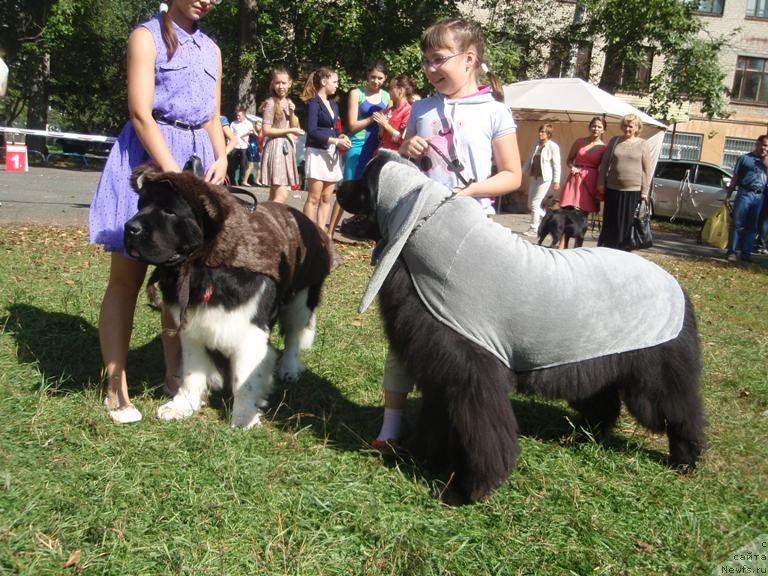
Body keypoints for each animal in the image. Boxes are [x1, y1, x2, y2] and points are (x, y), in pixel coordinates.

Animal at [124, 166, 334, 428]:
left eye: (169, 211)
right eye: (141, 205)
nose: (129, 228)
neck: (206, 269)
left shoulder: (250, 331)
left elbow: (245, 379)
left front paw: (243, 418)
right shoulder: (191, 328)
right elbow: (192, 371)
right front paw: (183, 406)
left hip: (302, 297)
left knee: (294, 335)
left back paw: (289, 368)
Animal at [340, 152, 704, 504]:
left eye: (365, 183)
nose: (340, 184)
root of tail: (679, 287)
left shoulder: (472, 377)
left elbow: (481, 433)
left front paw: (468, 489)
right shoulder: (440, 372)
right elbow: (439, 419)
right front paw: (428, 458)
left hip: (657, 375)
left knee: (682, 412)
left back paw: (685, 458)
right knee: (604, 403)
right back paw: (579, 435)